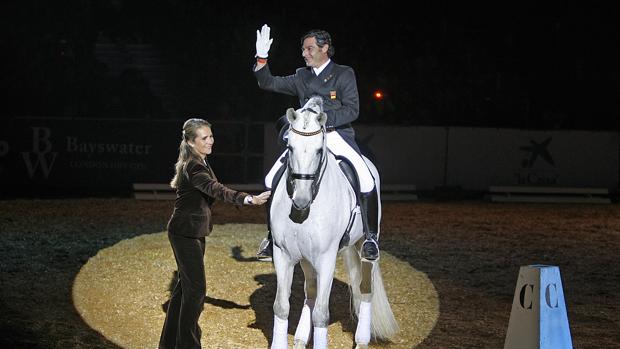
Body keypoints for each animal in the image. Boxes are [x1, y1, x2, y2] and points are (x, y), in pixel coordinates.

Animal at [270, 97, 398, 348]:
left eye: (319, 150)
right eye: (290, 148)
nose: (301, 199)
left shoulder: (326, 258)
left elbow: (321, 314)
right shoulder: (283, 254)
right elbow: (281, 307)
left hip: (363, 245)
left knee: (365, 289)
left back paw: (361, 340)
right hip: (306, 257)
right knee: (310, 291)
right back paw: (300, 338)